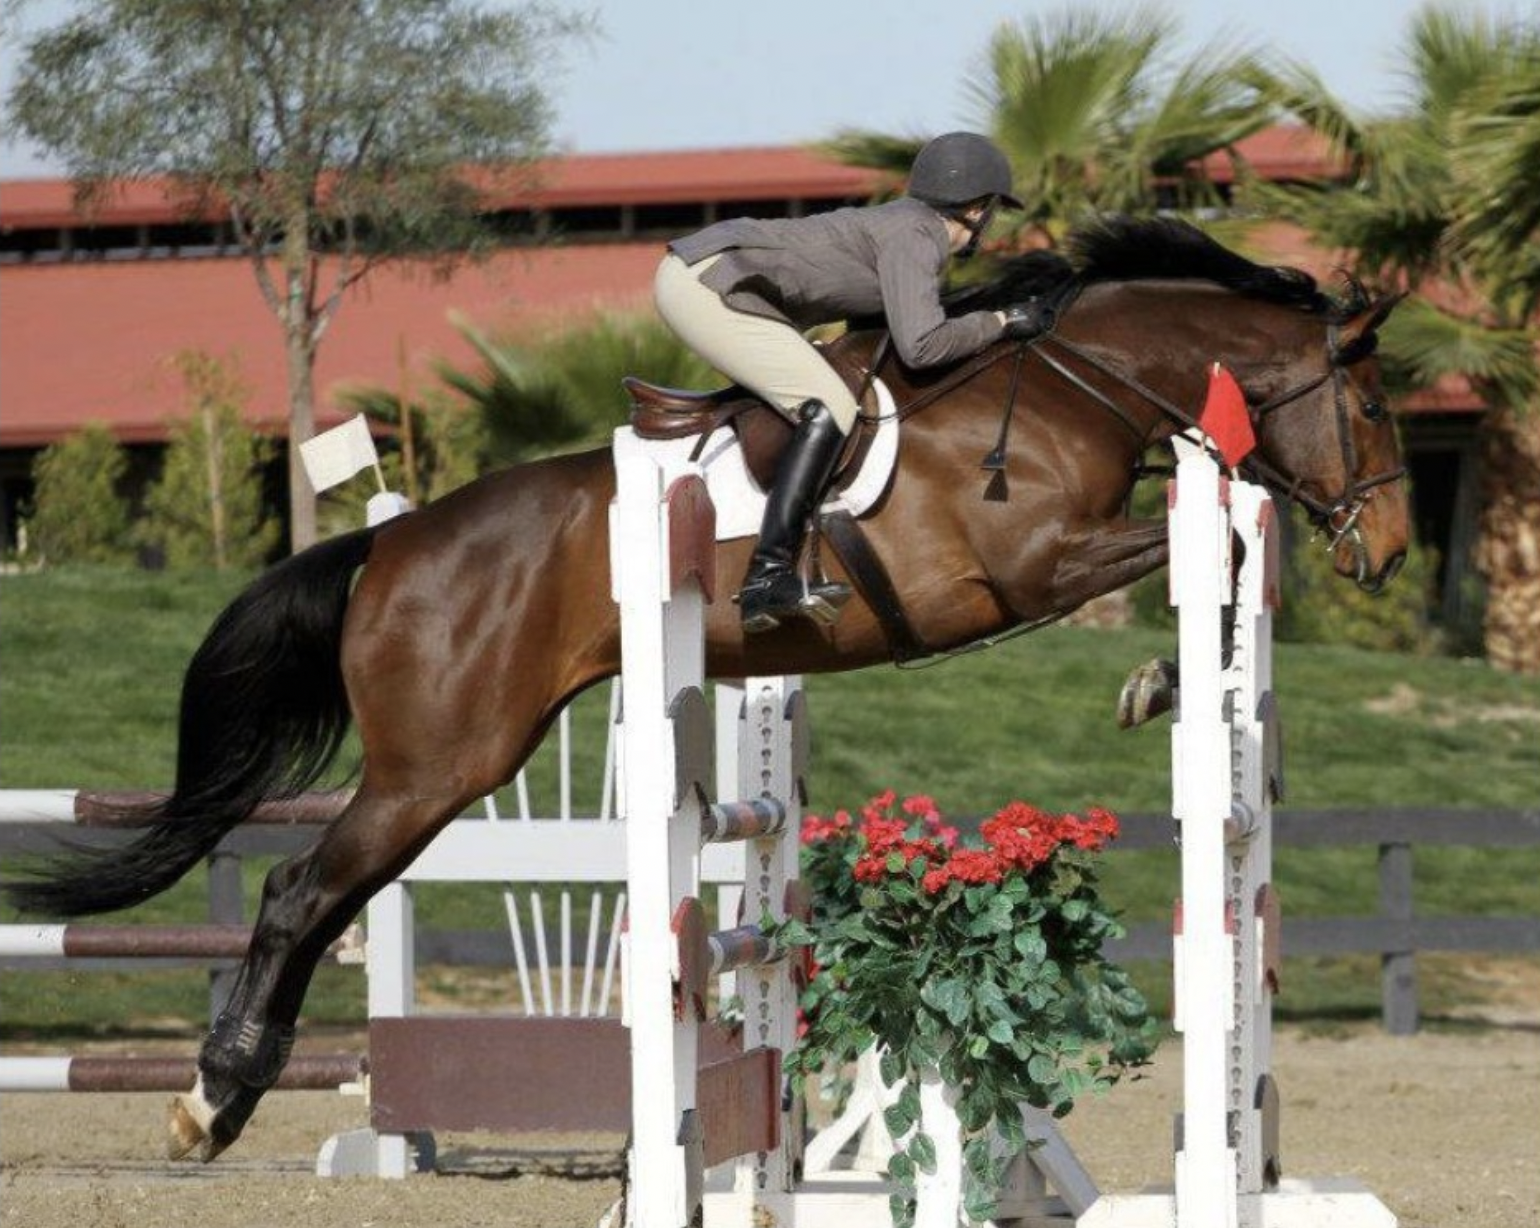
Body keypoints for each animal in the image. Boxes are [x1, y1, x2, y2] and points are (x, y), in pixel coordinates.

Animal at [1, 216, 1410, 1162]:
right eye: (1377, 408)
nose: (1389, 554)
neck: (1065, 387)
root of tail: (390, 545)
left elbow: (1217, 550)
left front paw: (1174, 671)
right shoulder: (1025, 570)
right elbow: (1198, 551)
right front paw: (1156, 674)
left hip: (453, 763)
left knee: (322, 894)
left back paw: (231, 1092)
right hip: (439, 762)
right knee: (301, 891)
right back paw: (210, 1100)